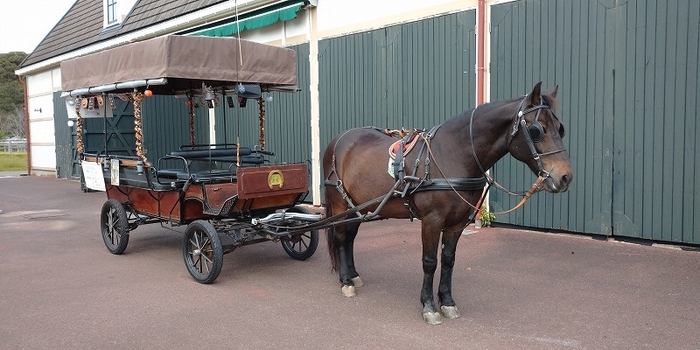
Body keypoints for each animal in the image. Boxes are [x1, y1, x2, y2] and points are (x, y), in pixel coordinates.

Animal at [322, 82, 576, 326]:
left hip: (359, 207)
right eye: (537, 130)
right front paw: (429, 306)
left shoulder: (458, 223)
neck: (454, 154)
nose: (565, 177)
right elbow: (430, 262)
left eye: (560, 128)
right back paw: (346, 281)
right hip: (340, 204)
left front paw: (447, 302)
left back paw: (354, 275)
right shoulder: (431, 220)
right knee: (341, 238)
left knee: (350, 238)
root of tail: (338, 140)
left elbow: (448, 261)